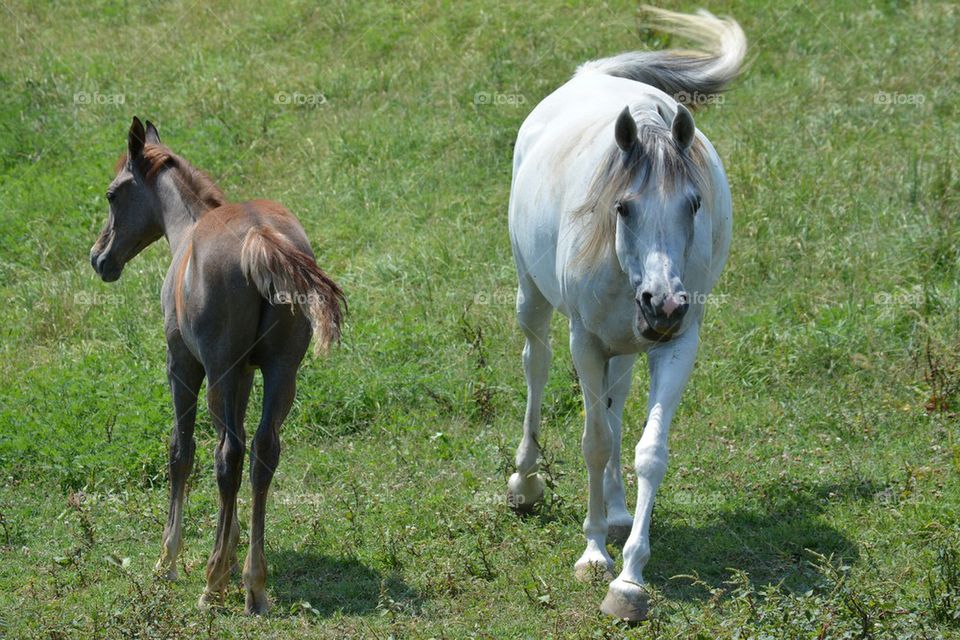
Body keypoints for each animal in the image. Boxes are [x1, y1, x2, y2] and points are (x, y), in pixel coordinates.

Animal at [89, 117, 345, 614]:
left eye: (112, 194)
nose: (99, 258)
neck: (188, 229)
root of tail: (261, 238)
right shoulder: (245, 374)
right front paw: (230, 548)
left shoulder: (183, 365)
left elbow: (181, 451)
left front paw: (168, 561)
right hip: (281, 373)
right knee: (263, 451)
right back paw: (253, 583)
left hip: (219, 372)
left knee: (227, 454)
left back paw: (212, 583)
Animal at [505, 8, 745, 621]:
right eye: (623, 206)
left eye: (694, 203)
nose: (664, 303)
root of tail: (590, 75)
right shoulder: (585, 341)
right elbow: (593, 440)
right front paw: (593, 555)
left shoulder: (676, 345)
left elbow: (646, 451)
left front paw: (631, 578)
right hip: (533, 300)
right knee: (536, 366)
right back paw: (525, 483)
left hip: (628, 347)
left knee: (615, 402)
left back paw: (615, 510)